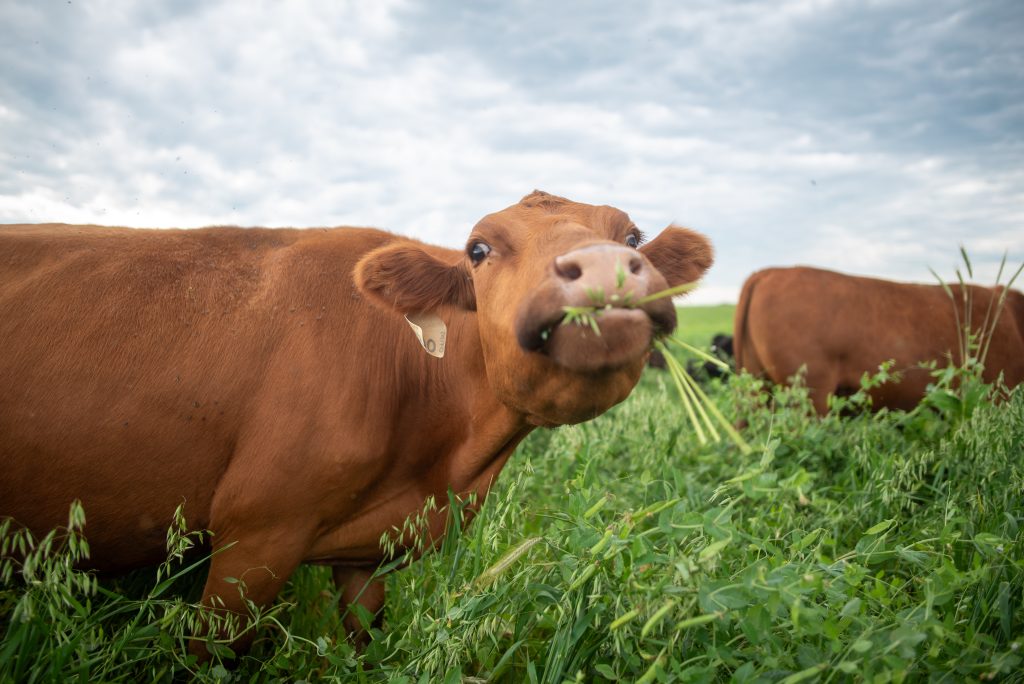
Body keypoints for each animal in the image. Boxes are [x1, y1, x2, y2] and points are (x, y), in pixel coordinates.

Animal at [0, 190, 713, 655]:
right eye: (478, 249)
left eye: (632, 237)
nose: (605, 268)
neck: (447, 469)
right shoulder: (253, 541)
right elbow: (210, 652)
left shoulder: (368, 554)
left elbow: (364, 637)